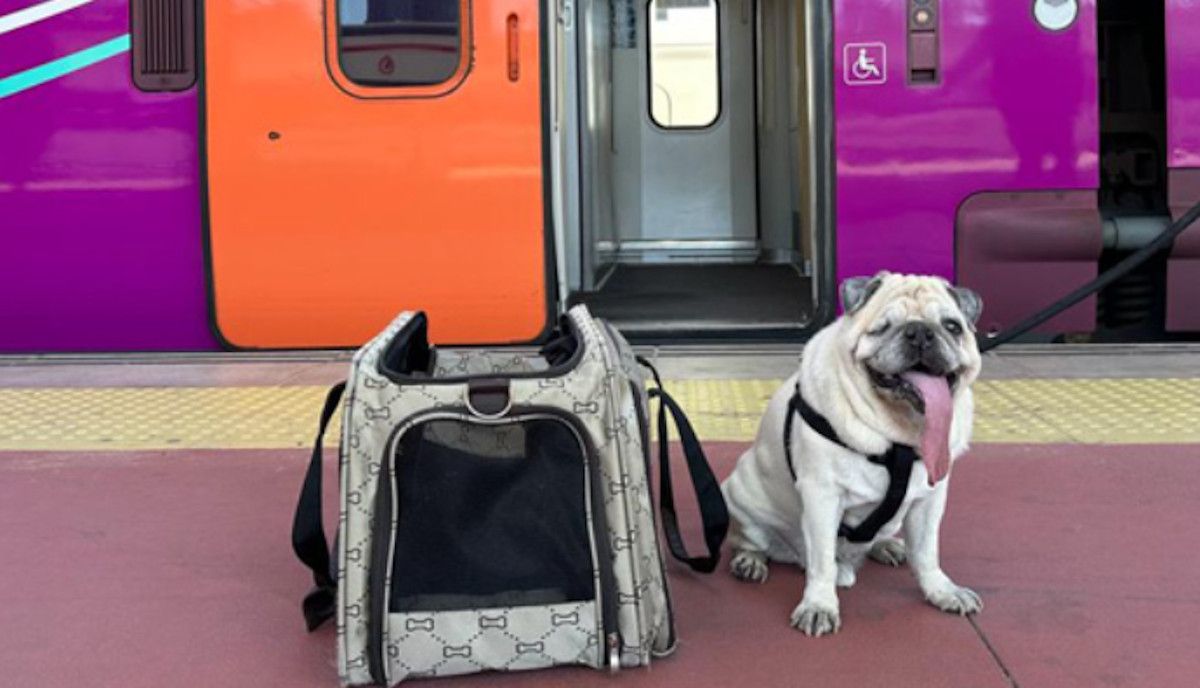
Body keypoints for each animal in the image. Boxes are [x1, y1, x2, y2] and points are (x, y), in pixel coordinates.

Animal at [720, 271, 984, 633]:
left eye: (952, 327)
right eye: (882, 327)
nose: (920, 332)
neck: (897, 434)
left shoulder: (931, 499)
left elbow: (927, 552)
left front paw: (941, 590)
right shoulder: (822, 495)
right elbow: (822, 563)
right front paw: (819, 605)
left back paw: (887, 546)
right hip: (741, 501)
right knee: (751, 540)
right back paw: (749, 561)